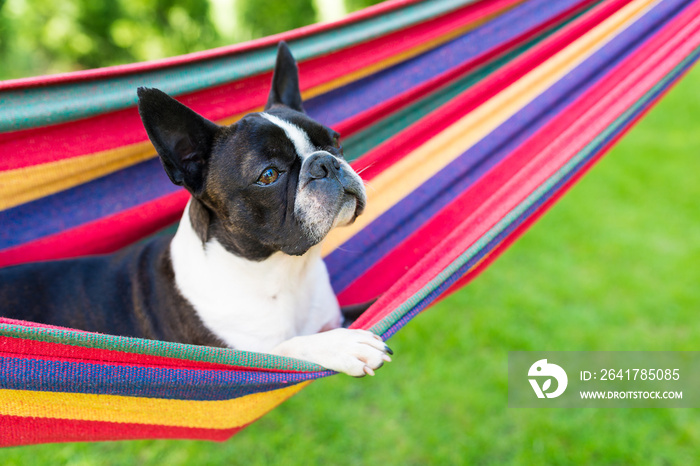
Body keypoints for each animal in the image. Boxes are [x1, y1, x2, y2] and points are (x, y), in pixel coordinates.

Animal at [0, 41, 394, 376]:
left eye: (335, 142)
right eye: (269, 175)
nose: (326, 162)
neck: (280, 272)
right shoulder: (229, 354)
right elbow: (286, 347)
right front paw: (341, 345)